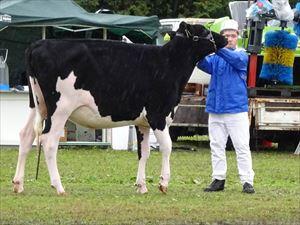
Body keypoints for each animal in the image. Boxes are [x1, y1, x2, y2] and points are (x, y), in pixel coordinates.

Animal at [12, 22, 227, 195]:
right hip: (60, 108)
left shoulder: (143, 122)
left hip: (37, 104)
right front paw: (163, 183)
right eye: (205, 31)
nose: (225, 38)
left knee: (26, 135)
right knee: (49, 141)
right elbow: (167, 147)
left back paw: (18, 184)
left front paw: (141, 186)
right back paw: (58, 187)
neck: (169, 63)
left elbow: (144, 152)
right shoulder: (158, 114)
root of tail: (39, 44)